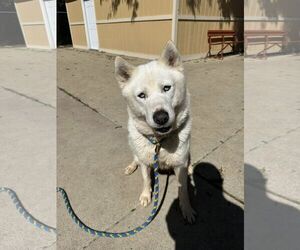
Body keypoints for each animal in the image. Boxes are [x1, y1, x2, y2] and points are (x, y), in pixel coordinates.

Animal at [115, 41, 197, 223]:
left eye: (166, 88)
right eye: (141, 95)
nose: (161, 117)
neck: (160, 142)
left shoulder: (179, 165)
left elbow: (183, 189)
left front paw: (187, 208)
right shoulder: (146, 162)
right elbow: (146, 179)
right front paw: (146, 195)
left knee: (189, 160)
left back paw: (191, 167)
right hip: (134, 148)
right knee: (136, 158)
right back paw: (131, 166)